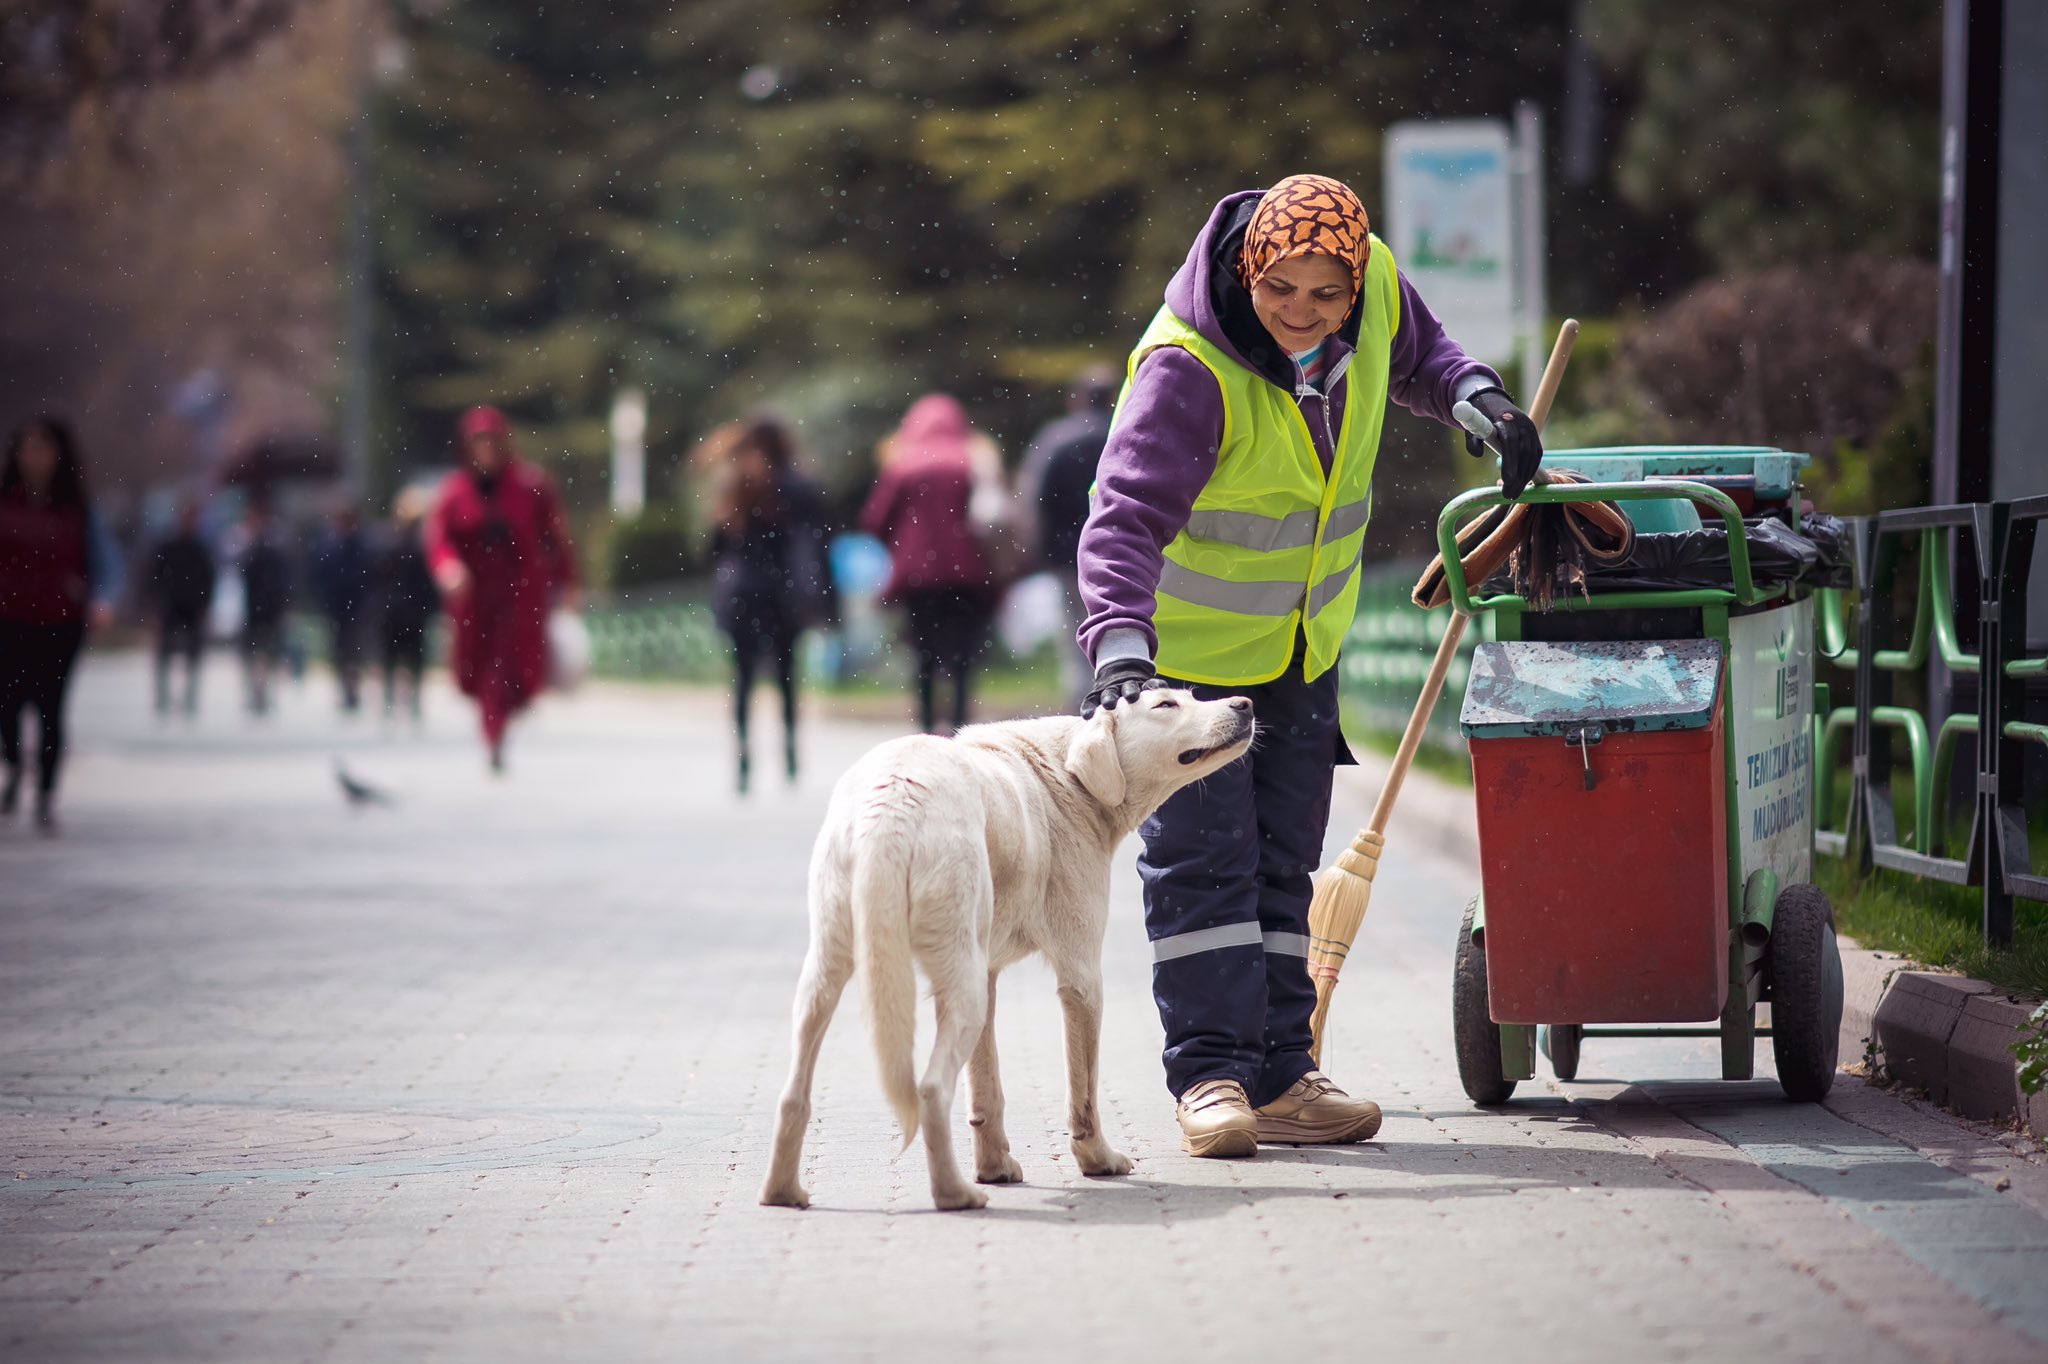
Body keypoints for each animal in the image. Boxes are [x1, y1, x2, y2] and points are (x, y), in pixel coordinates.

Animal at [761, 684, 1253, 1204]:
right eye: (1164, 706)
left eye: (1189, 696)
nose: (1245, 704)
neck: (1066, 773)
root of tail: (894, 798)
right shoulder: (1082, 977)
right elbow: (1084, 1090)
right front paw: (1097, 1160)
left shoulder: (989, 973)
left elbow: (986, 1085)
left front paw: (994, 1167)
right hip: (962, 986)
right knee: (931, 1089)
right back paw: (955, 1195)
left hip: (833, 976)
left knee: (793, 1093)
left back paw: (783, 1192)